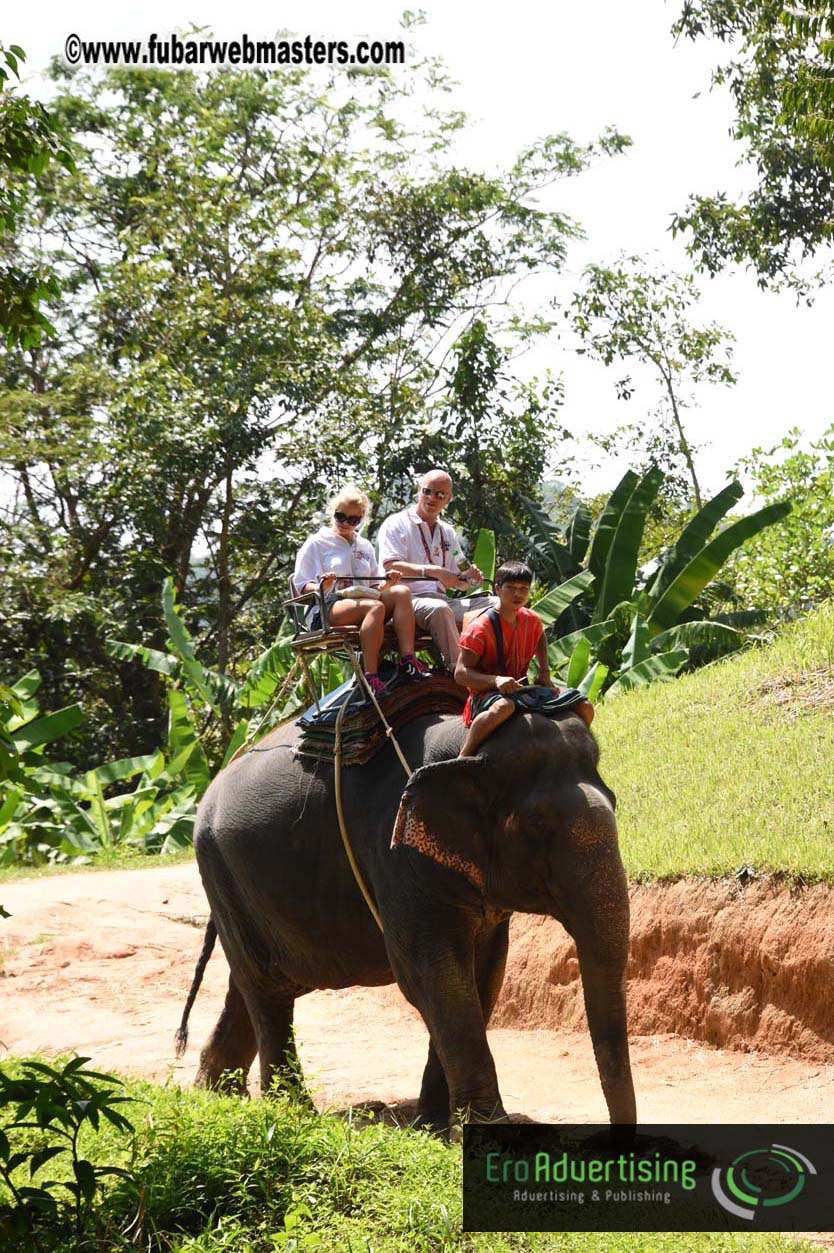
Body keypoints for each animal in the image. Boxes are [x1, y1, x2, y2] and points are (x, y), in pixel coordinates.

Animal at [177, 704, 636, 1129]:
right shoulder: (395, 852)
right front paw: (482, 1128)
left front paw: (432, 1125)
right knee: (267, 992)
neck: (466, 748)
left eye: (615, 801)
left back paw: (216, 1095)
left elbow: (484, 974)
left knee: (249, 984)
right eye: (537, 824)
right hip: (219, 869)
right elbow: (430, 974)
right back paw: (291, 1114)